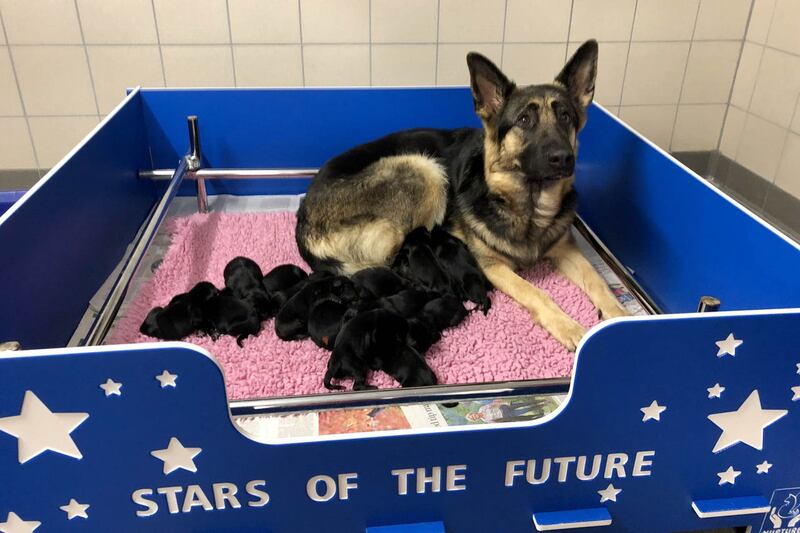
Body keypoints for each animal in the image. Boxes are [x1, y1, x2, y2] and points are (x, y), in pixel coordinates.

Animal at [294, 40, 624, 350]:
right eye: (524, 120)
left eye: (566, 117)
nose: (563, 158)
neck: (528, 208)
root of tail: (303, 216)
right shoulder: (493, 266)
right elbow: (536, 292)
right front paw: (568, 326)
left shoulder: (567, 249)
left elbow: (599, 282)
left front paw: (621, 318)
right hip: (423, 167)